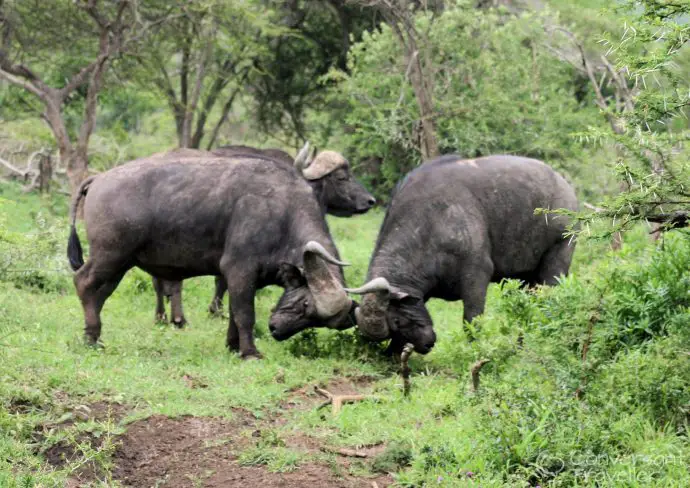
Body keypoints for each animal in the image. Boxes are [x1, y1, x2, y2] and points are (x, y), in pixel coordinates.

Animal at [66, 152, 354, 358]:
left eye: (317, 321)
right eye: (305, 305)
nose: (276, 330)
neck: (284, 212)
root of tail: (100, 179)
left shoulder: (244, 278)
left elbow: (234, 313)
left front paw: (233, 346)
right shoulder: (240, 270)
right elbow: (245, 313)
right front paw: (250, 352)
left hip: (121, 263)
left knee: (99, 295)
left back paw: (94, 337)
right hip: (109, 255)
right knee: (83, 283)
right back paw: (92, 337)